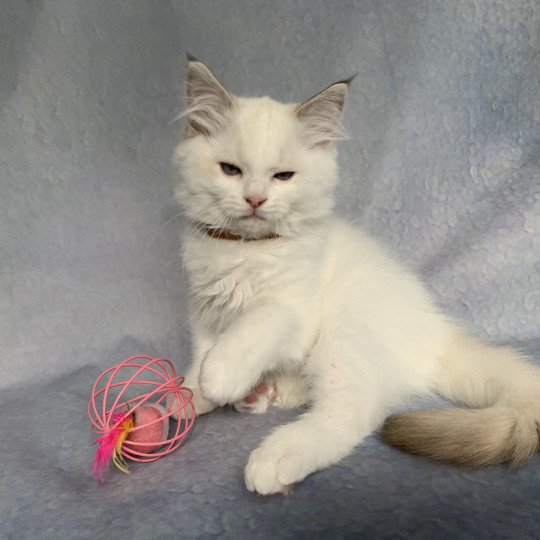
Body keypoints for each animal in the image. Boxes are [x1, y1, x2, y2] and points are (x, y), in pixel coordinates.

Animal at [174, 58, 540, 494]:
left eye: (283, 176)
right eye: (230, 170)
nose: (256, 199)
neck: (247, 249)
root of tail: (439, 335)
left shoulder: (293, 312)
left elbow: (248, 332)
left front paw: (218, 379)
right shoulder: (205, 306)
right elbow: (202, 351)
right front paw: (191, 394)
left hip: (343, 334)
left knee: (352, 412)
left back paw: (276, 457)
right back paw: (261, 393)